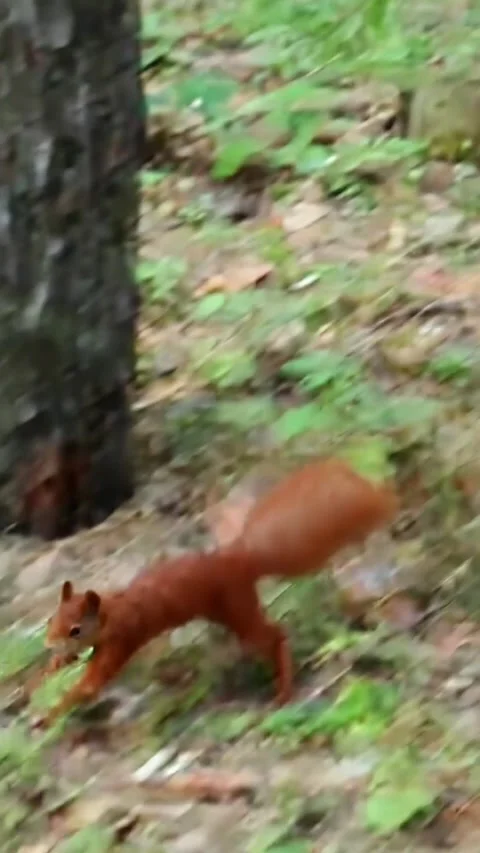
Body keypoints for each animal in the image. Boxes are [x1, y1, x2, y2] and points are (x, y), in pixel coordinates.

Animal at [30, 457, 398, 725]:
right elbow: (66, 665)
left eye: (76, 628)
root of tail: (239, 559)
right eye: (51, 619)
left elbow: (91, 684)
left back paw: (283, 689)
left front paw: (50, 714)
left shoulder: (123, 638)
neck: (111, 611)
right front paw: (43, 675)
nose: (48, 642)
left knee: (274, 636)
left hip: (235, 605)